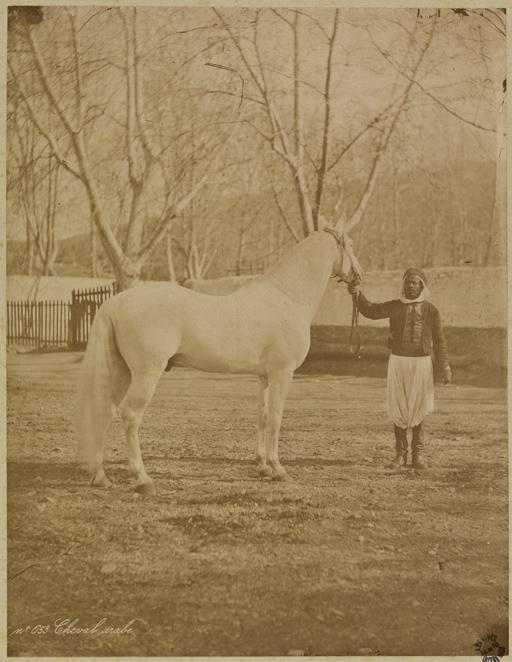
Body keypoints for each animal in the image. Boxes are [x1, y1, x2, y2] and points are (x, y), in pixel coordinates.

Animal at [77, 223, 362, 494]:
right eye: (349, 245)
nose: (358, 277)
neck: (286, 296)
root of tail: (115, 303)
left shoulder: (264, 376)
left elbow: (262, 415)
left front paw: (263, 467)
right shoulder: (283, 373)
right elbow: (275, 417)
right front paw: (278, 470)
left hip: (120, 372)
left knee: (105, 411)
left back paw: (101, 477)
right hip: (146, 375)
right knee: (131, 415)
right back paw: (143, 479)